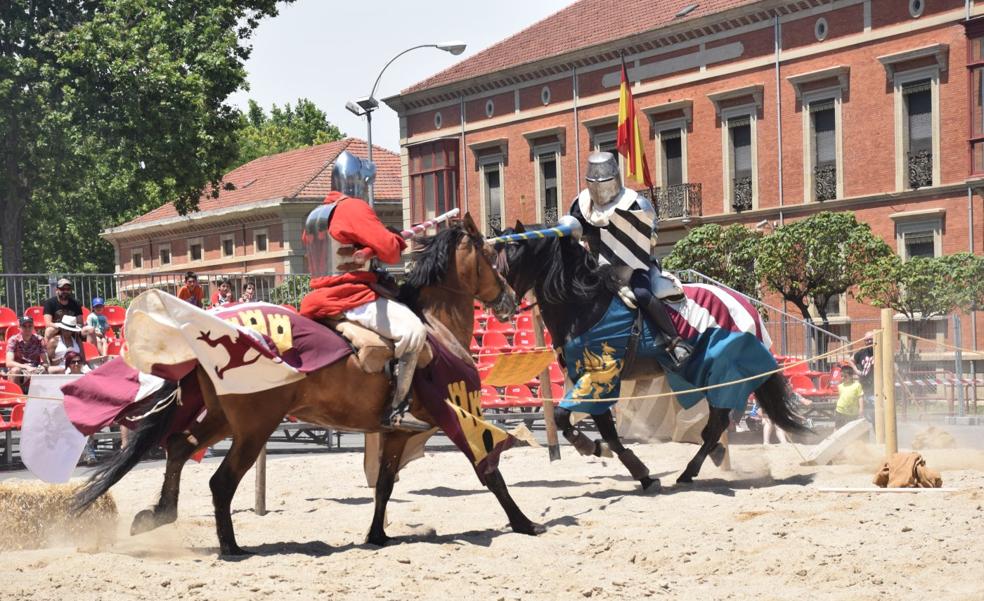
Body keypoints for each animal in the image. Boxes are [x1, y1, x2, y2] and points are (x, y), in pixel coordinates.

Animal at [74, 213, 544, 556]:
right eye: (490, 255)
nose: (509, 300)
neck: (435, 325)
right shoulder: (457, 414)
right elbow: (489, 470)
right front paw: (525, 523)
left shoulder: (393, 432)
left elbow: (385, 484)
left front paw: (377, 536)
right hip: (255, 426)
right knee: (220, 481)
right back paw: (231, 547)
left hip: (226, 419)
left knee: (178, 447)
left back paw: (159, 515)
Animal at [500, 223, 808, 490]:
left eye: (515, 250)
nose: (501, 303)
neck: (585, 305)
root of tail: (746, 306)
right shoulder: (592, 381)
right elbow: (607, 434)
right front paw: (640, 473)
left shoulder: (599, 377)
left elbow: (564, 417)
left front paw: (590, 447)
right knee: (716, 423)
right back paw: (712, 455)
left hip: (719, 372)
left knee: (718, 422)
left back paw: (690, 471)